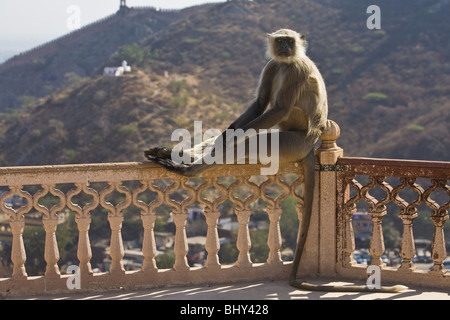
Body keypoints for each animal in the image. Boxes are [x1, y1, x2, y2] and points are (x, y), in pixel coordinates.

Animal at [145, 29, 408, 292]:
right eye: (280, 41)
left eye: (289, 41)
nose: (284, 47)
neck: (286, 62)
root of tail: (312, 142)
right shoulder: (273, 65)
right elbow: (259, 104)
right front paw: (222, 136)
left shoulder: (295, 70)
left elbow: (277, 109)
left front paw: (224, 142)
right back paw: (176, 154)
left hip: (290, 142)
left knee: (256, 136)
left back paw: (190, 169)